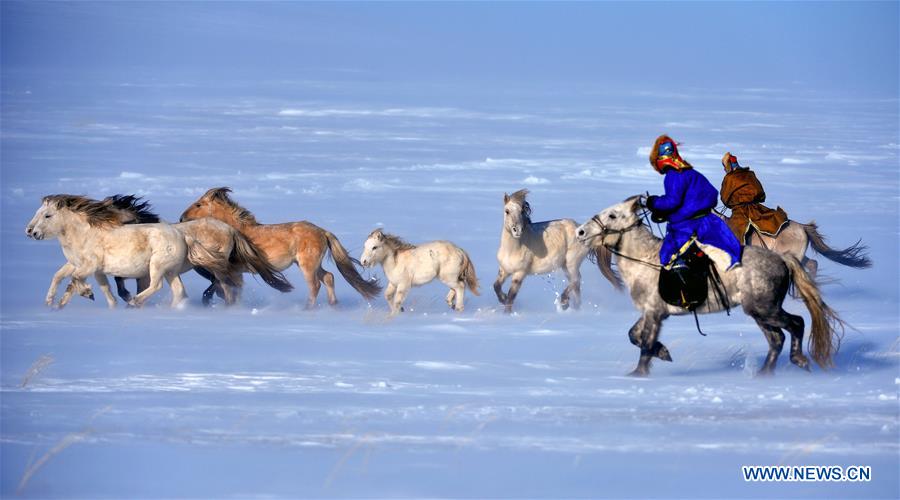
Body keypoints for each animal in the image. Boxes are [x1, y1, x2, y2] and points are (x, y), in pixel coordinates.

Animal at [181, 187, 382, 306]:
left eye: (198, 204)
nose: (182, 218)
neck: (236, 231)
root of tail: (322, 231)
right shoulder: (237, 272)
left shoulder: (234, 271)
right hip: (312, 264)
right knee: (329, 277)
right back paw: (333, 305)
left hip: (307, 265)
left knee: (315, 285)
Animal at [576, 197, 844, 376]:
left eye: (613, 215)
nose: (580, 232)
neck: (645, 258)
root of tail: (783, 259)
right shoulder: (653, 312)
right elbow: (634, 335)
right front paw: (663, 353)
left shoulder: (654, 312)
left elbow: (645, 343)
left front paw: (638, 374)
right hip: (759, 312)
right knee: (776, 339)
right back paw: (764, 375)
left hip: (765, 309)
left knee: (796, 324)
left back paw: (798, 360)